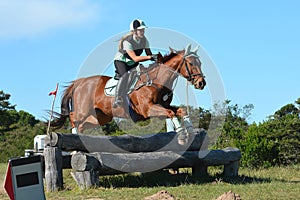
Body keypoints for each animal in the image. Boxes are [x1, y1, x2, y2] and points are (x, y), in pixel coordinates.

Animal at [51, 45, 206, 142]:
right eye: (191, 63)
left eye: (200, 63)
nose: (201, 83)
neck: (157, 81)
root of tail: (80, 82)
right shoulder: (147, 110)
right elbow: (171, 113)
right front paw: (182, 136)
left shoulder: (163, 105)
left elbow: (180, 110)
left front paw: (190, 131)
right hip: (83, 111)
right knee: (73, 117)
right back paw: (75, 146)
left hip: (100, 117)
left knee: (82, 125)